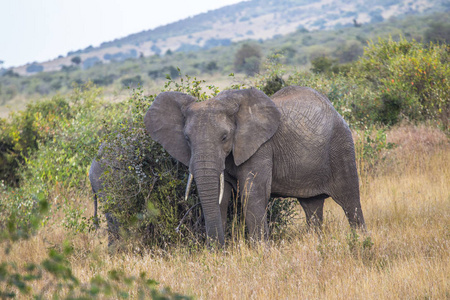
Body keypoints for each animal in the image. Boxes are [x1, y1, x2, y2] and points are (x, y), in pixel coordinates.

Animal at [144, 85, 366, 245]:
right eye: (187, 139)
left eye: (224, 137)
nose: (219, 247)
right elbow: (222, 196)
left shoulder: (261, 147)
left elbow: (253, 194)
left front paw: (261, 252)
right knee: (312, 206)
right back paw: (315, 243)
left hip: (341, 146)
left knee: (350, 201)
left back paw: (361, 241)